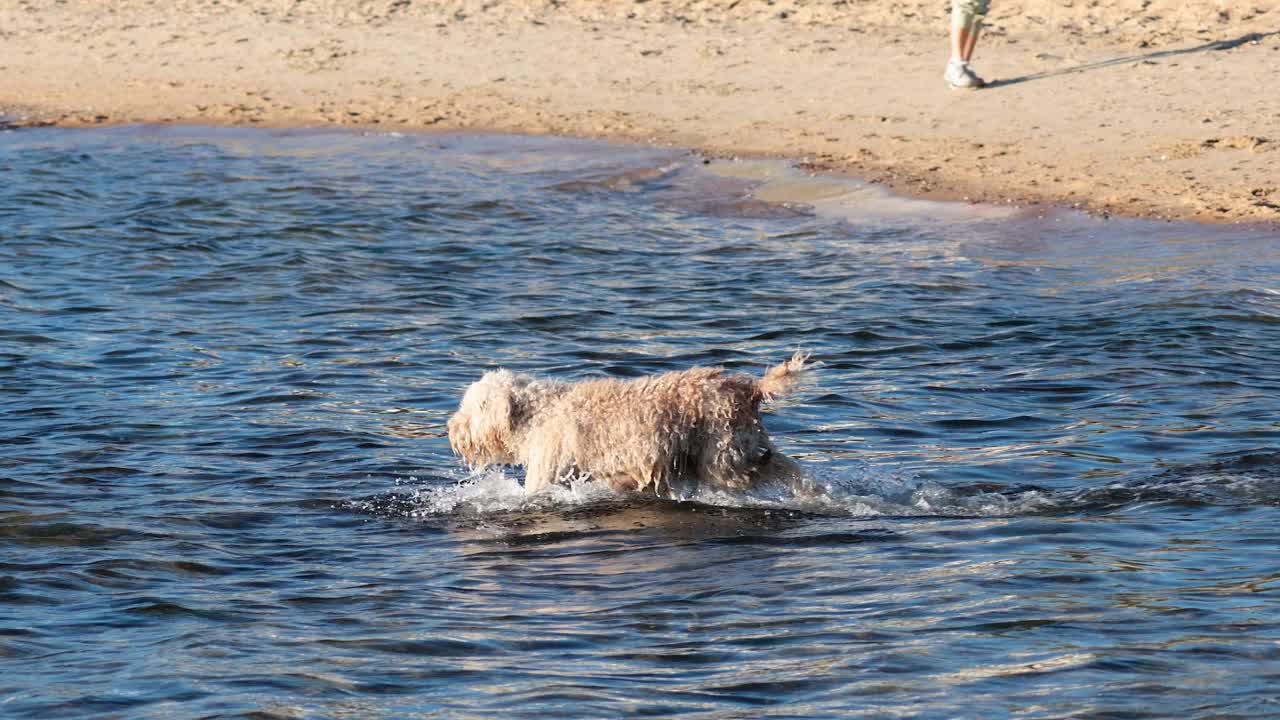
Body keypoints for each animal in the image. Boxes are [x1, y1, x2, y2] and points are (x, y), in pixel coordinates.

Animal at [450, 351, 808, 491]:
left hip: (724, 457)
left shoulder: (547, 475)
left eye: (474, 406)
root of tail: (748, 388)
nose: (450, 428)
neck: (539, 413)